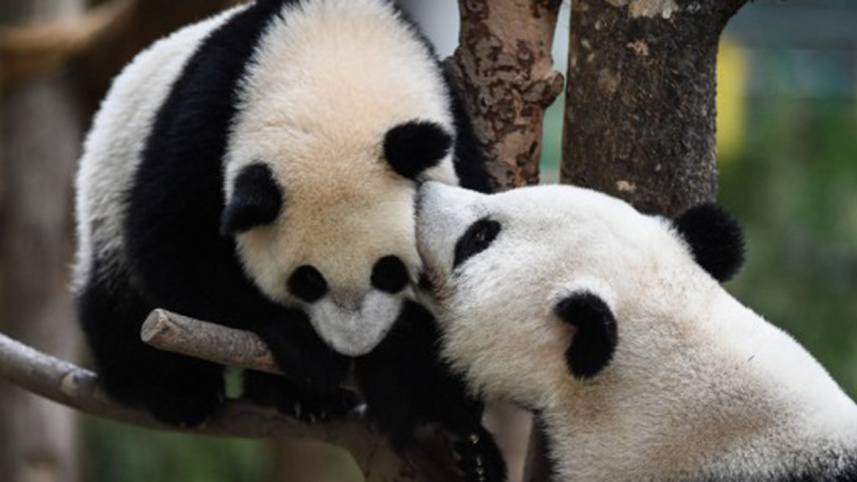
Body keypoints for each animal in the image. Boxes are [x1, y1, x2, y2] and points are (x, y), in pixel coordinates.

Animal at [74, 0, 505, 472]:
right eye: (308, 279)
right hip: (108, 190)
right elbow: (173, 247)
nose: (355, 345)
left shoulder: (455, 137)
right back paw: (178, 391)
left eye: (388, 271)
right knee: (122, 303)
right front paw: (306, 349)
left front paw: (446, 436)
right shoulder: (207, 122)